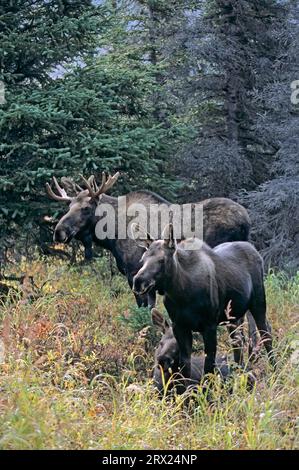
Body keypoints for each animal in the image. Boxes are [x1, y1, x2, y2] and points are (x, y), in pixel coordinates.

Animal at [46, 171, 253, 310]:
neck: (112, 234)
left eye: (86, 208)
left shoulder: (134, 272)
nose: (59, 232)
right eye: (69, 206)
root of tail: (246, 221)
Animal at [134, 225, 276, 386]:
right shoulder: (179, 326)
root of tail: (255, 250)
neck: (182, 294)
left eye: (162, 260)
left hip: (258, 303)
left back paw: (274, 371)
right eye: (142, 259)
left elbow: (208, 366)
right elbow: (185, 367)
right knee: (238, 340)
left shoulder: (209, 325)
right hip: (232, 316)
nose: (138, 281)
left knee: (266, 334)